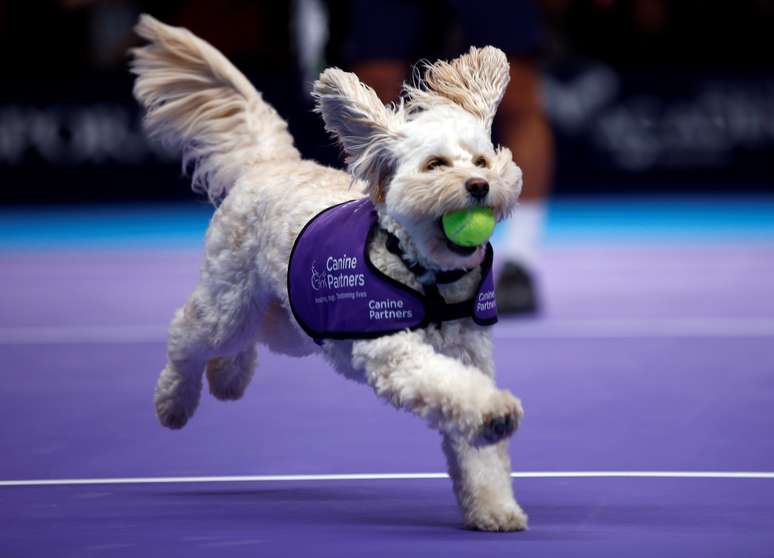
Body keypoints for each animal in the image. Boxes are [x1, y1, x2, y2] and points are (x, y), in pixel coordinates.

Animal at [133, 14, 532, 532]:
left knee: (249, 340)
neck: (430, 278)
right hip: (229, 300)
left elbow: (479, 454)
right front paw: (494, 410)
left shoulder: (470, 353)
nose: (480, 185)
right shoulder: (394, 351)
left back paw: (226, 378)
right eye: (436, 164)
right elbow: (452, 388)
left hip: (291, 315)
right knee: (188, 332)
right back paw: (174, 403)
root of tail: (270, 162)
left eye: (482, 160)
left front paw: (493, 506)